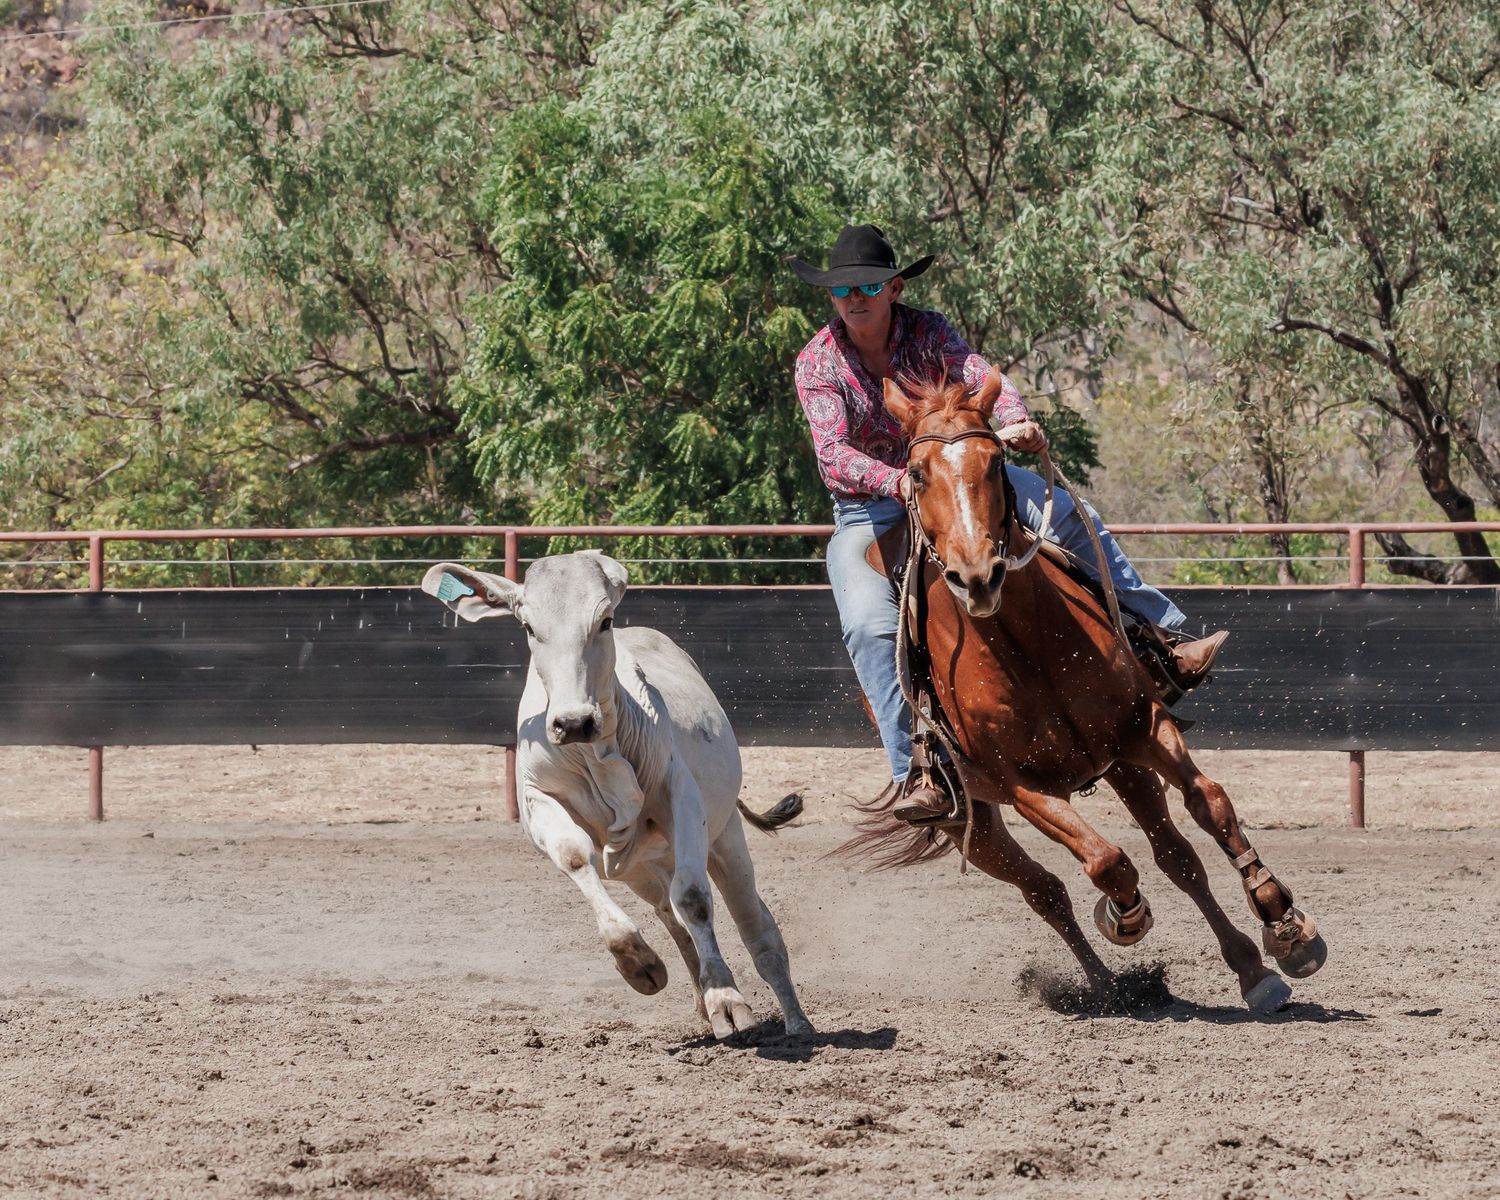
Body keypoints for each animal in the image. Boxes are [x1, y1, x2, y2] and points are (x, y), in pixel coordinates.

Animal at [421, 550, 813, 1040]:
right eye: (529, 627)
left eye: (604, 620)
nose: (573, 722)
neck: (596, 752)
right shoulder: (537, 800)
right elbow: (577, 859)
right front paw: (638, 963)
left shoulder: (680, 794)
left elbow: (694, 898)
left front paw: (727, 999)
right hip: (643, 870)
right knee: (672, 918)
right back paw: (699, 997)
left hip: (725, 841)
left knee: (755, 926)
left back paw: (796, 1023)